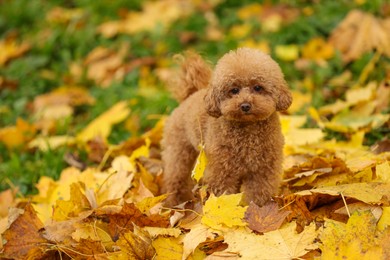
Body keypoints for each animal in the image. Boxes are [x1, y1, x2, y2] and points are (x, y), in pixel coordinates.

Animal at [160, 47, 290, 207]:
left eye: (258, 87)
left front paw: (256, 209)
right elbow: (223, 196)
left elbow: (258, 193)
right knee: (175, 177)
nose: (245, 105)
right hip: (178, 150)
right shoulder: (223, 170)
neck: (248, 130)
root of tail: (189, 96)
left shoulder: (263, 169)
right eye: (234, 90)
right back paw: (176, 202)